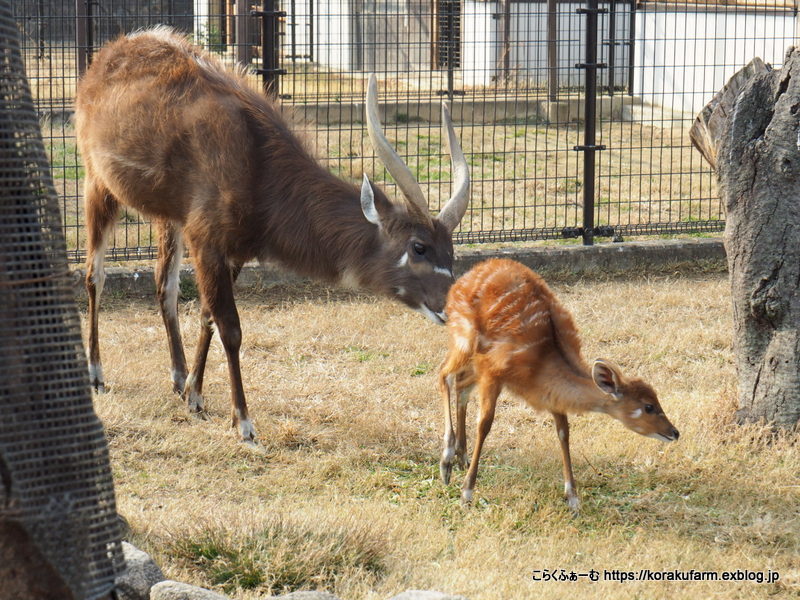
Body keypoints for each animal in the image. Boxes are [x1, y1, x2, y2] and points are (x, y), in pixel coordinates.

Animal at [74, 28, 468, 442]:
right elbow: (230, 328)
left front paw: (194, 396)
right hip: (98, 184)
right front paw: (244, 424)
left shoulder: (232, 251)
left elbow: (206, 315)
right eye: (419, 247)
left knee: (163, 284)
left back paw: (178, 378)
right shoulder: (208, 242)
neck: (258, 165)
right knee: (95, 275)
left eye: (450, 252)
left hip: (168, 218)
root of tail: (111, 52)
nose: (451, 308)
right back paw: (97, 374)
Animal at [438, 258, 680, 510]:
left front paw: (573, 499)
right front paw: (466, 493)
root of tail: (461, 281)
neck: (542, 359)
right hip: (464, 337)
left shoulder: (550, 395)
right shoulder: (493, 373)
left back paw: (461, 457)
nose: (674, 432)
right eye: (648, 407)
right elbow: (484, 424)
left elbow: (563, 432)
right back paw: (446, 462)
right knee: (443, 373)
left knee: (460, 383)